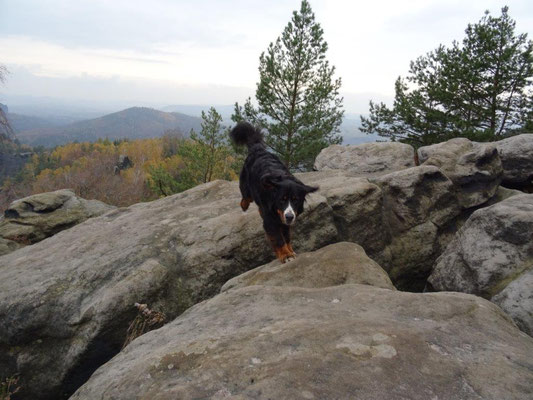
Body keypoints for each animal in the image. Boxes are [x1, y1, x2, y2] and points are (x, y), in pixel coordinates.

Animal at [229, 122, 316, 266]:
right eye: (282, 199)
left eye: (296, 200)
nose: (289, 216)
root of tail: (258, 149)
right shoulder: (271, 220)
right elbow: (278, 239)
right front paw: (286, 255)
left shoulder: (284, 220)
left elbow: (286, 237)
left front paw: (290, 251)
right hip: (246, 186)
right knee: (246, 197)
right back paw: (244, 205)